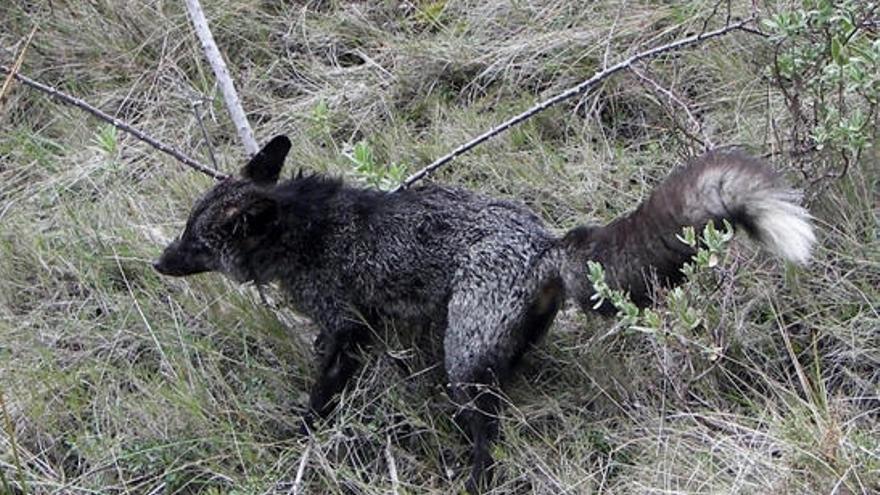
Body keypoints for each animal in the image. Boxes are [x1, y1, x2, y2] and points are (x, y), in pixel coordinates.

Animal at [155, 135, 816, 492]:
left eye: (194, 241)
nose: (159, 263)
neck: (304, 229)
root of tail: (545, 244)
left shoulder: (347, 327)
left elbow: (320, 396)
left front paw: (300, 437)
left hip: (462, 363)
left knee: (486, 438)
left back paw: (474, 480)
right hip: (490, 352)